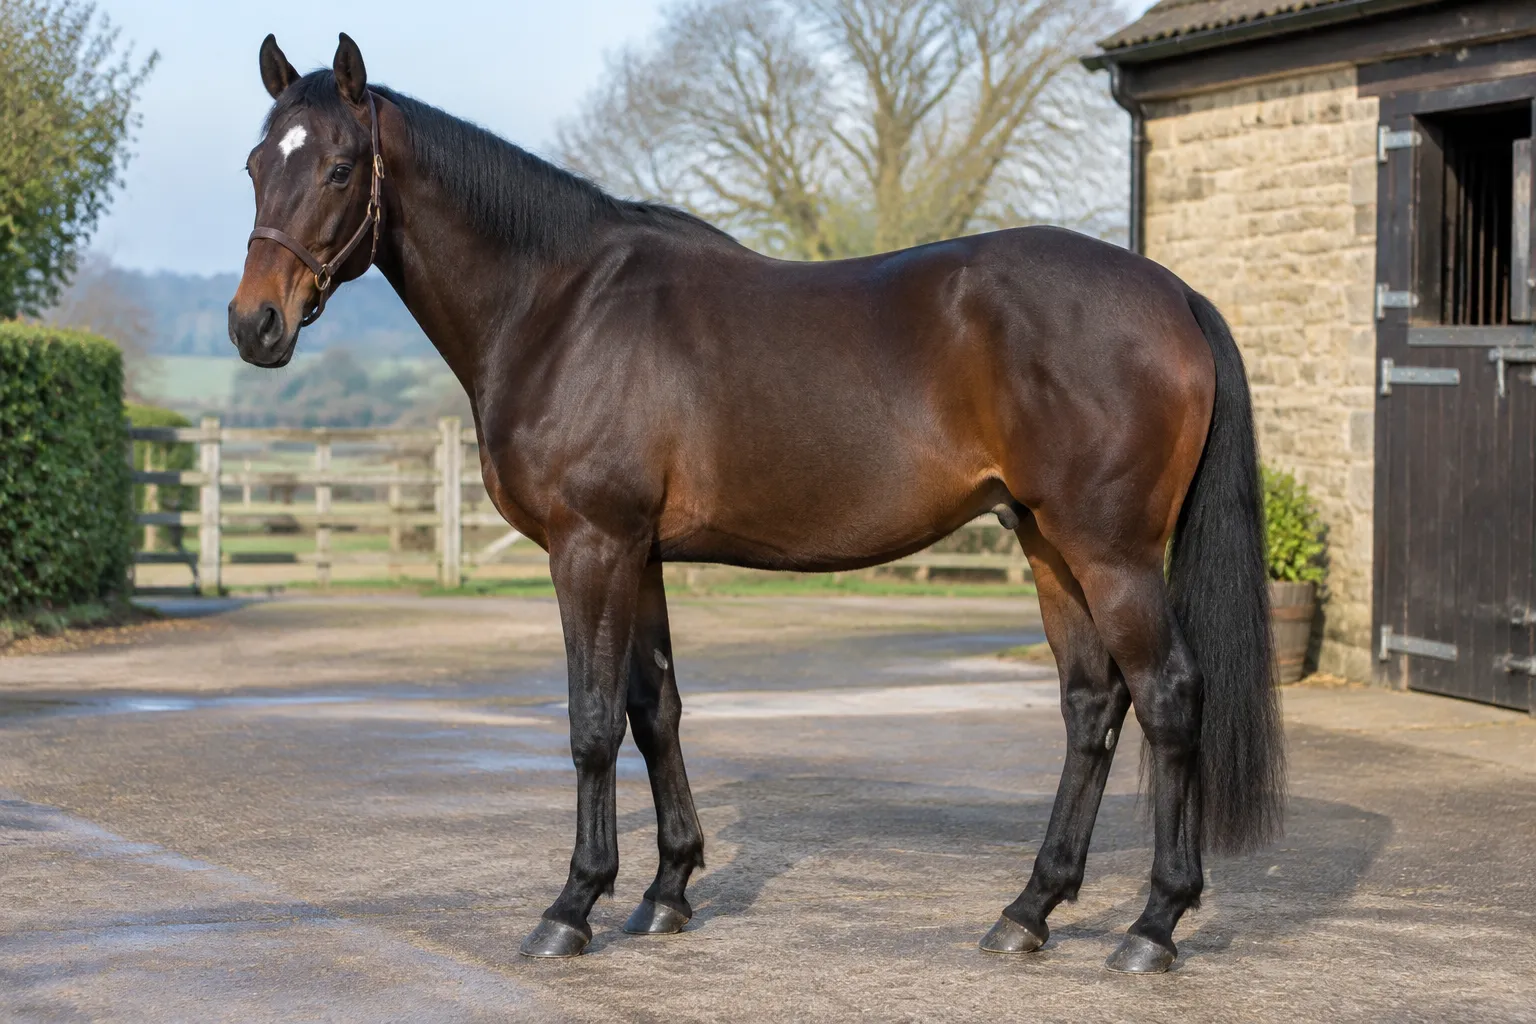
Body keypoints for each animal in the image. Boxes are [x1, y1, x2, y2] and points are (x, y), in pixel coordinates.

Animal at [229, 33, 1285, 975]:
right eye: (252, 164)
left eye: (338, 168)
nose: (254, 325)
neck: (561, 304)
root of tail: (1174, 294)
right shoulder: (640, 554)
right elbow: (654, 709)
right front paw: (665, 893)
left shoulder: (589, 545)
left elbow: (591, 722)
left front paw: (572, 906)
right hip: (1045, 542)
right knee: (1092, 705)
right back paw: (1028, 910)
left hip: (1111, 551)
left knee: (1169, 697)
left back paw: (1153, 926)